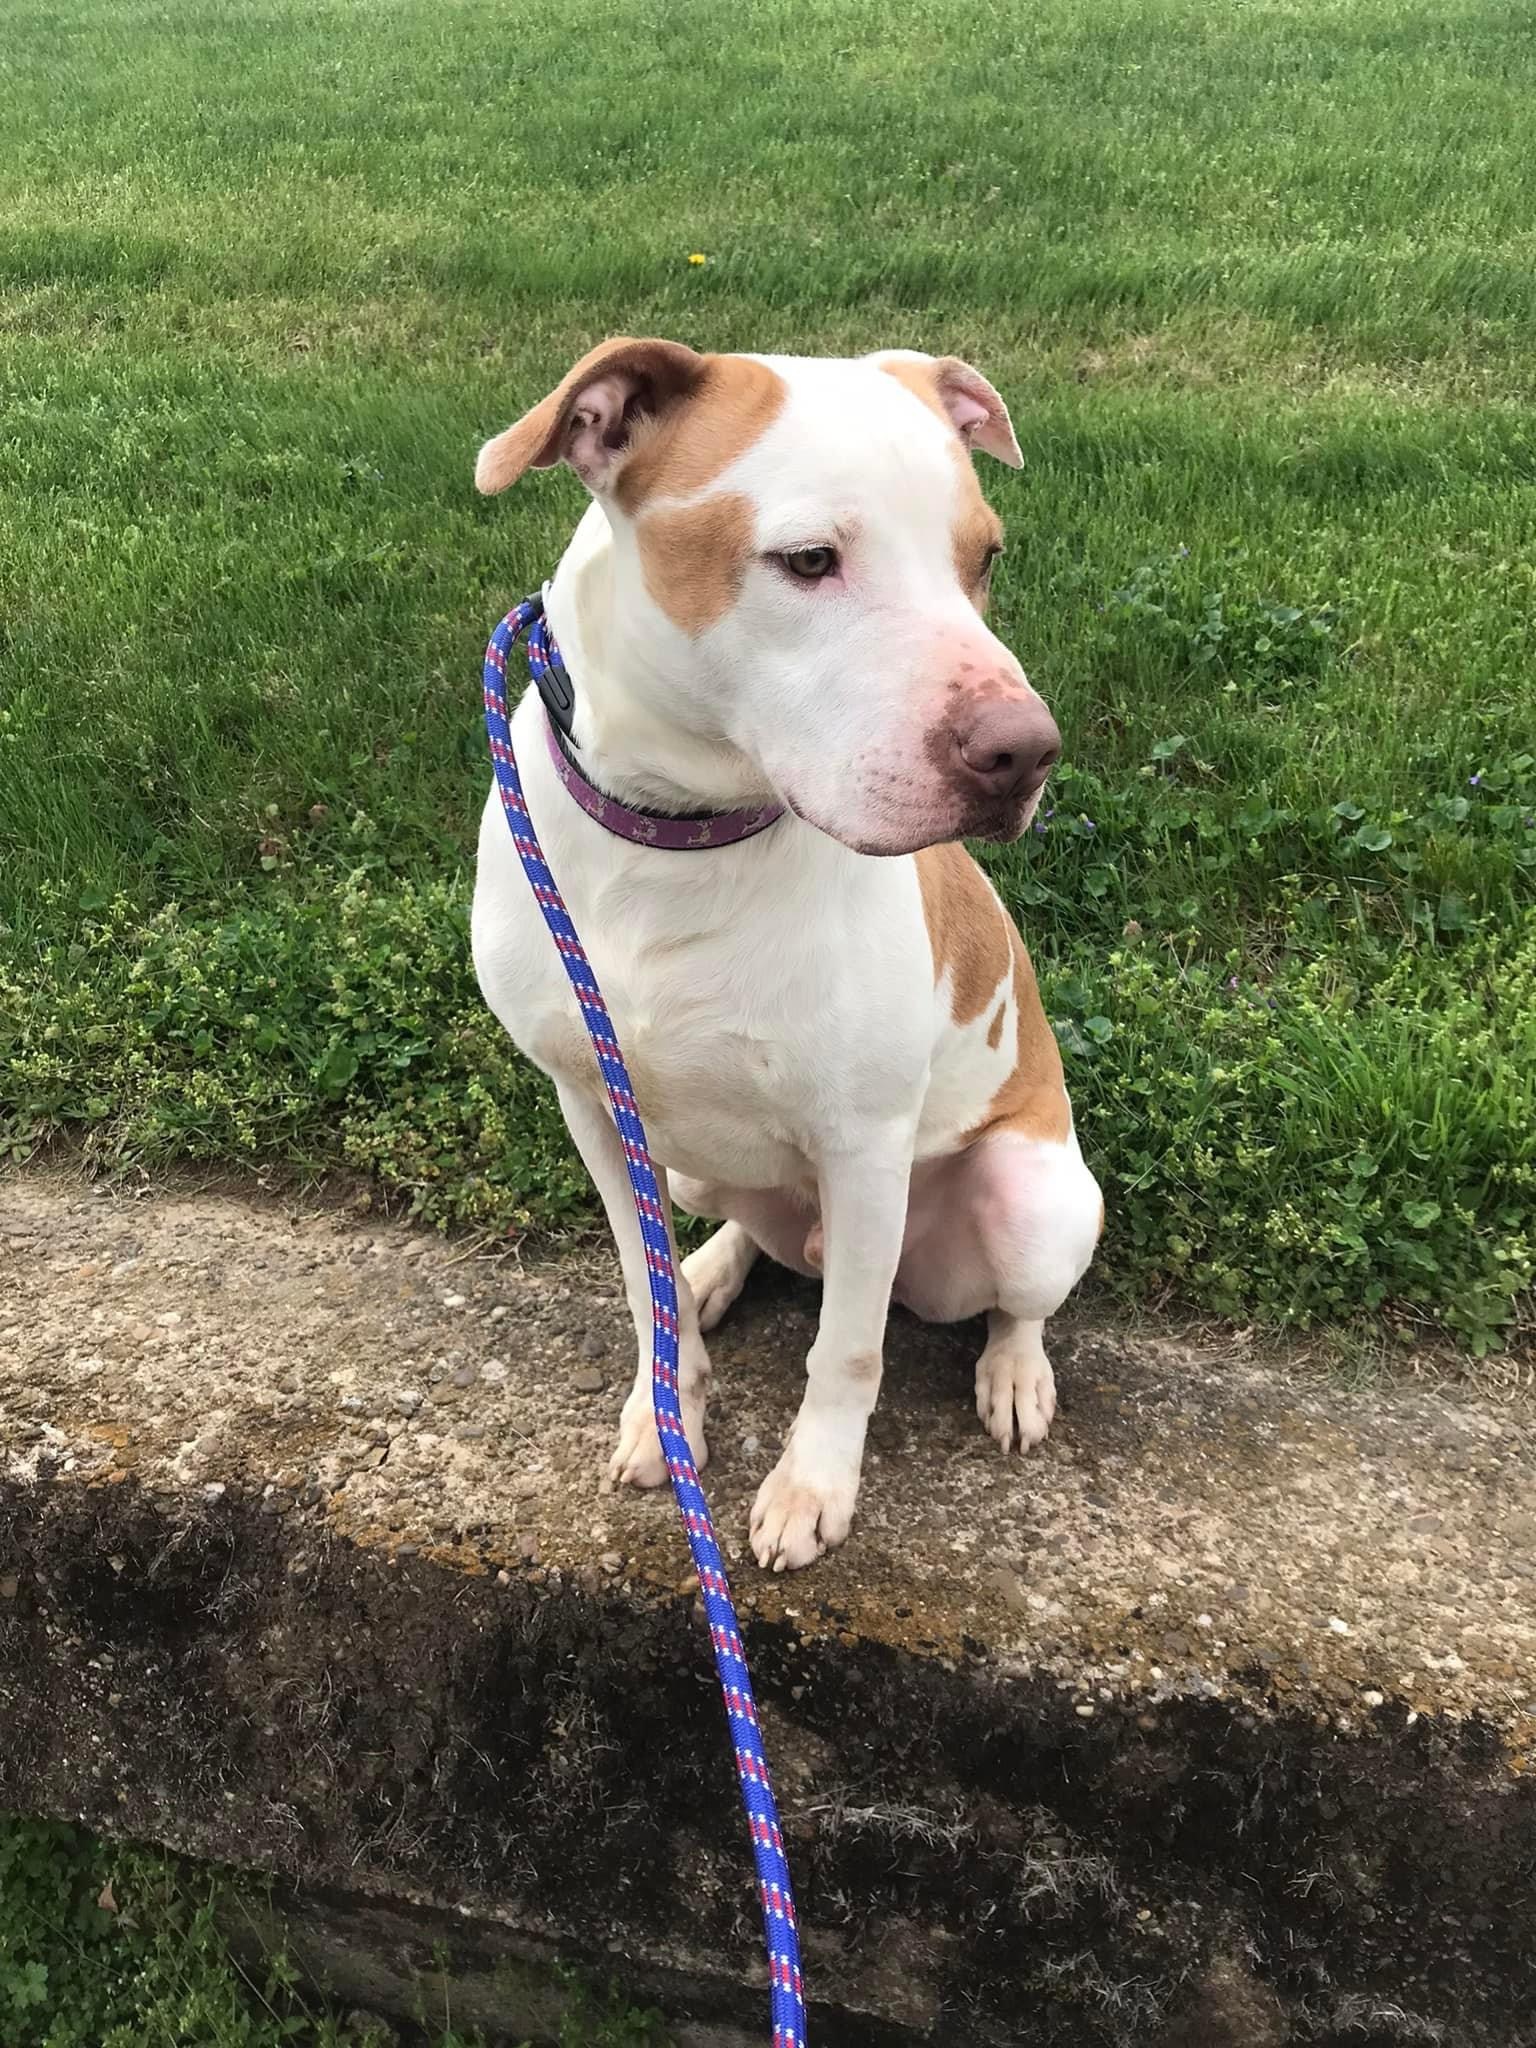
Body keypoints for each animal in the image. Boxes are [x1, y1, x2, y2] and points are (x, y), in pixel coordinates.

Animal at [473, 344, 1105, 1572]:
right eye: (809, 560)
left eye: (985, 557)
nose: (1027, 753)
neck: (675, 837)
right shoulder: (594, 1109)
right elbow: (643, 1284)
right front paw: (665, 1405)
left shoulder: (865, 1146)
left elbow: (847, 1350)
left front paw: (813, 1487)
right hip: (693, 1164)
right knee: (739, 1232)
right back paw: (716, 1268)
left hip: (1029, 1197)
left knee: (1009, 1303)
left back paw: (1015, 1373)